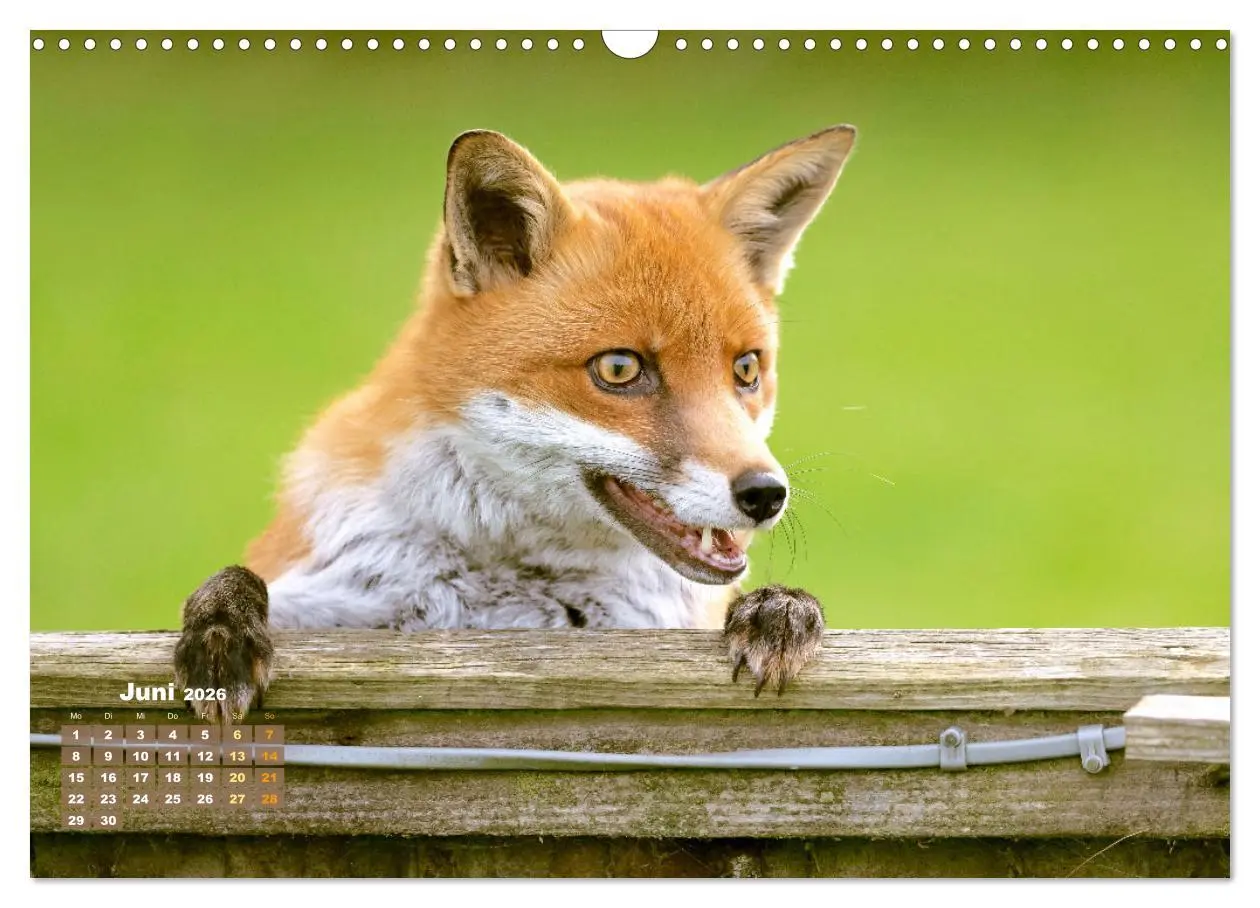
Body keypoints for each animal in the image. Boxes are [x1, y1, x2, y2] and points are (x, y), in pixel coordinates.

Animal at [174, 124, 858, 723]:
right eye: (619, 368)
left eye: (746, 368)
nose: (766, 495)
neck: (507, 585)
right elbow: (237, 582)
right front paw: (221, 630)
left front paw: (780, 609)